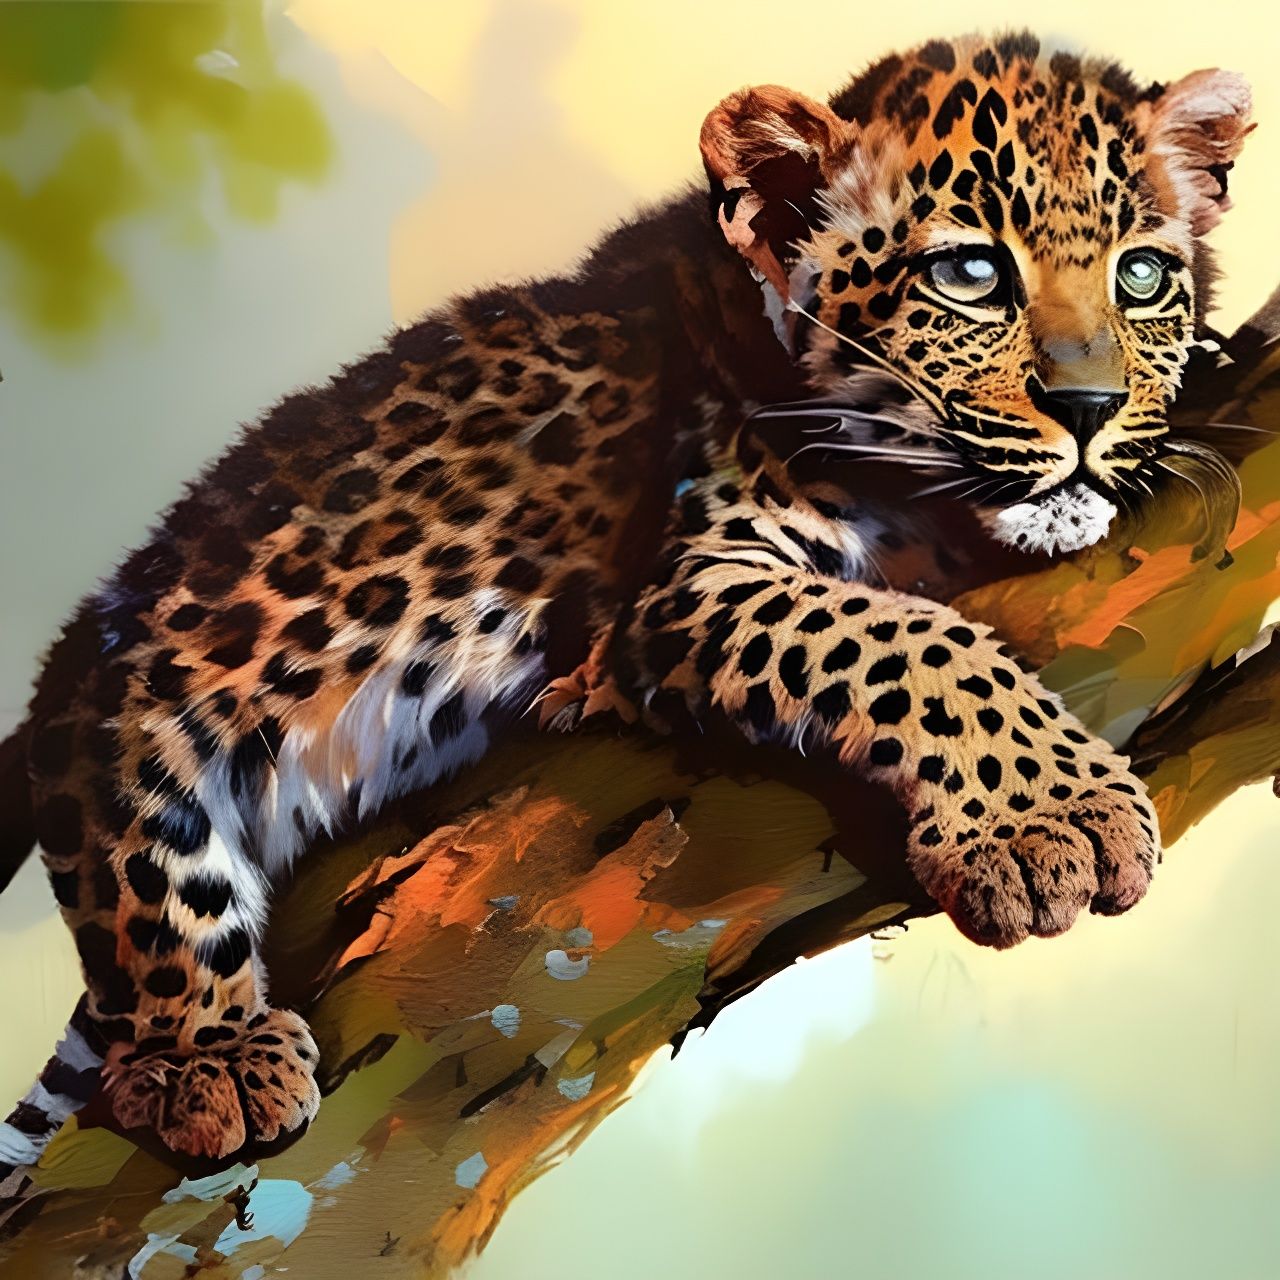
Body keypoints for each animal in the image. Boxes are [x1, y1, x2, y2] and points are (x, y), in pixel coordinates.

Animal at [0, 32, 1252, 1183]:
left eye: (1141, 277)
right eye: (970, 274)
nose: (1089, 407)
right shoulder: (694, 581)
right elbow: (913, 644)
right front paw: (1051, 819)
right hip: (144, 682)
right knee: (145, 866)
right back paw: (205, 1055)